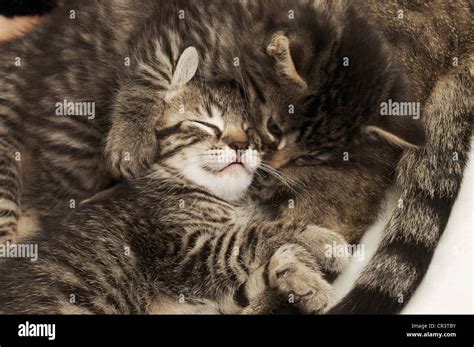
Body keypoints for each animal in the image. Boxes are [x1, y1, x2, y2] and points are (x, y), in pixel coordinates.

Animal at [0, 51, 348, 316]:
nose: (240, 144)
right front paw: (322, 241)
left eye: (251, 132)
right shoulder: (185, 255)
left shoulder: (221, 294)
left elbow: (260, 264)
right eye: (205, 124)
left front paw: (304, 281)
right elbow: (256, 234)